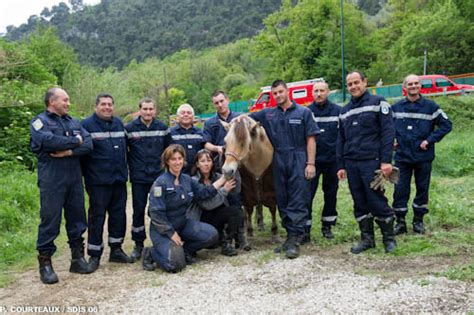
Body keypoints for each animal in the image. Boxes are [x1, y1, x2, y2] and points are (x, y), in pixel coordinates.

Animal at [222, 116, 282, 244]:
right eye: (226, 142)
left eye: (243, 143)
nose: (227, 171)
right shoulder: (247, 190)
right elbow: (248, 209)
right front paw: (249, 232)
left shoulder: (271, 188)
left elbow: (272, 209)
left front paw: (275, 232)